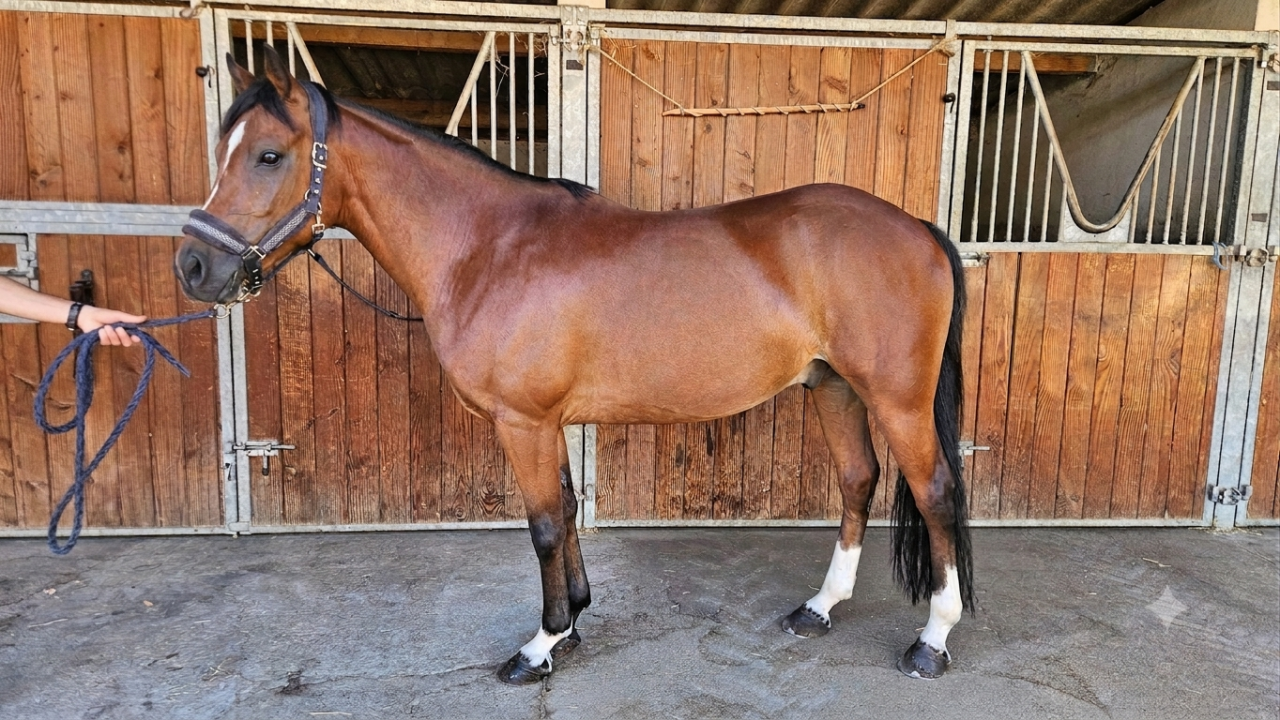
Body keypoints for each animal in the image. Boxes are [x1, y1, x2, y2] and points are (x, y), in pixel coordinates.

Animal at [175, 47, 975, 685]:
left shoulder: (522, 423)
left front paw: (541, 644)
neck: (488, 247)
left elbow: (543, 527)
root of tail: (916, 229)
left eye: (269, 155)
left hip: (896, 398)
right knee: (859, 480)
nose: (193, 266)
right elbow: (564, 510)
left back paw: (933, 640)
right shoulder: (548, 422)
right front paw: (577, 621)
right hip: (833, 386)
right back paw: (819, 608)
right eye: (224, 150)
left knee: (935, 493)